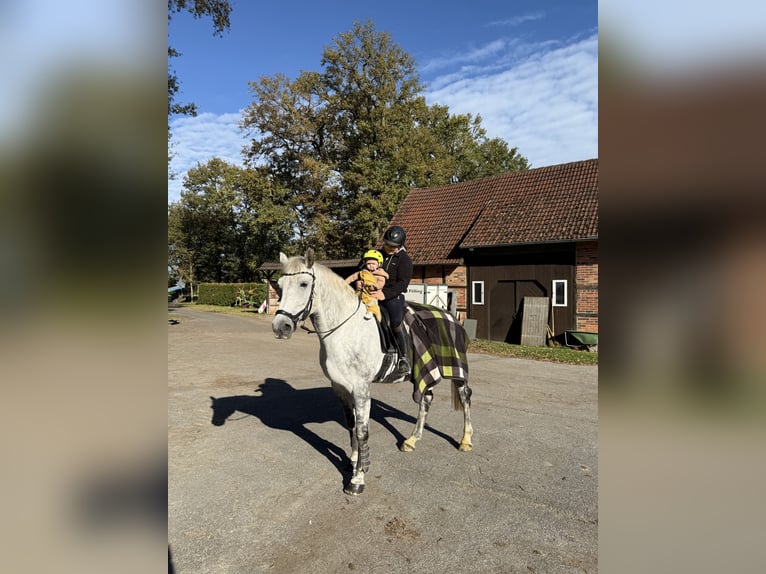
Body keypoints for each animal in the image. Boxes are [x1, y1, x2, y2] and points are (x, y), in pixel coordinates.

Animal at [271, 249, 473, 495]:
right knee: (426, 399)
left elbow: (362, 431)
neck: (346, 330)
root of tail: (451, 316)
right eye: (280, 285)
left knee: (464, 398)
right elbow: (351, 425)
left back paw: (465, 440)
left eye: (303, 283)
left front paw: (358, 478)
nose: (280, 327)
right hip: (423, 372)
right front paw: (353, 460)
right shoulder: (340, 388)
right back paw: (412, 440)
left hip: (457, 370)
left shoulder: (361, 389)